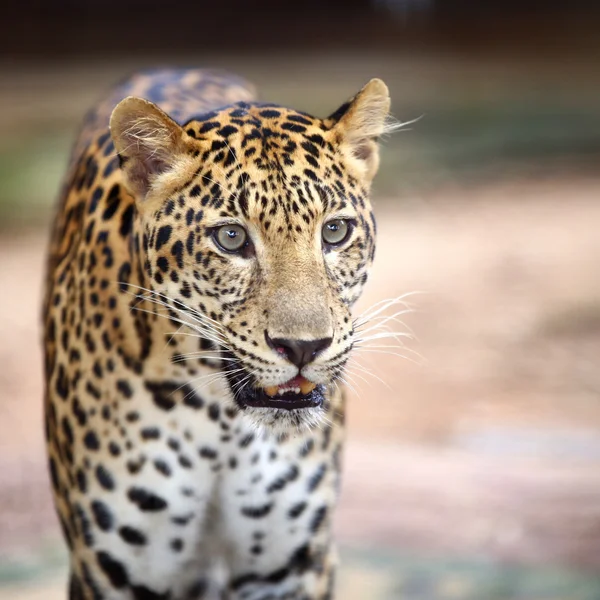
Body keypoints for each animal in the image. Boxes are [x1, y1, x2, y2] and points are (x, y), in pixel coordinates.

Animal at [44, 68, 394, 600]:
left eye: (335, 231)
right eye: (231, 238)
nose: (304, 347)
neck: (219, 424)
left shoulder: (292, 567)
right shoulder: (111, 571)